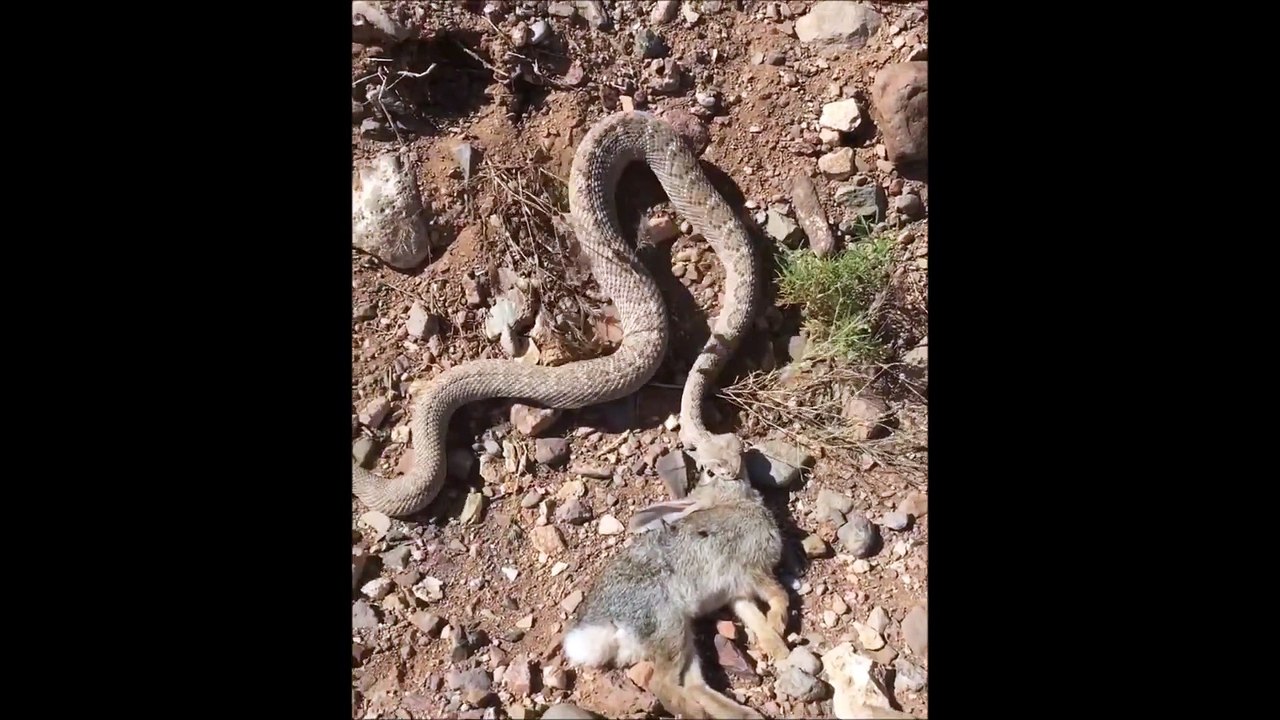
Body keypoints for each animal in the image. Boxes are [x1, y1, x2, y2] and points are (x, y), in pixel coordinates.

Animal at [560, 466, 793, 719]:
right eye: (712, 475)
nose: (735, 472)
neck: (736, 504)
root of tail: (609, 626)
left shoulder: (737, 594)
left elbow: (756, 619)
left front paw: (779, 649)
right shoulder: (752, 570)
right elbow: (781, 596)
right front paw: (778, 625)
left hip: (684, 633)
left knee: (694, 685)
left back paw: (743, 714)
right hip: (668, 627)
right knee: (661, 684)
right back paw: (696, 712)